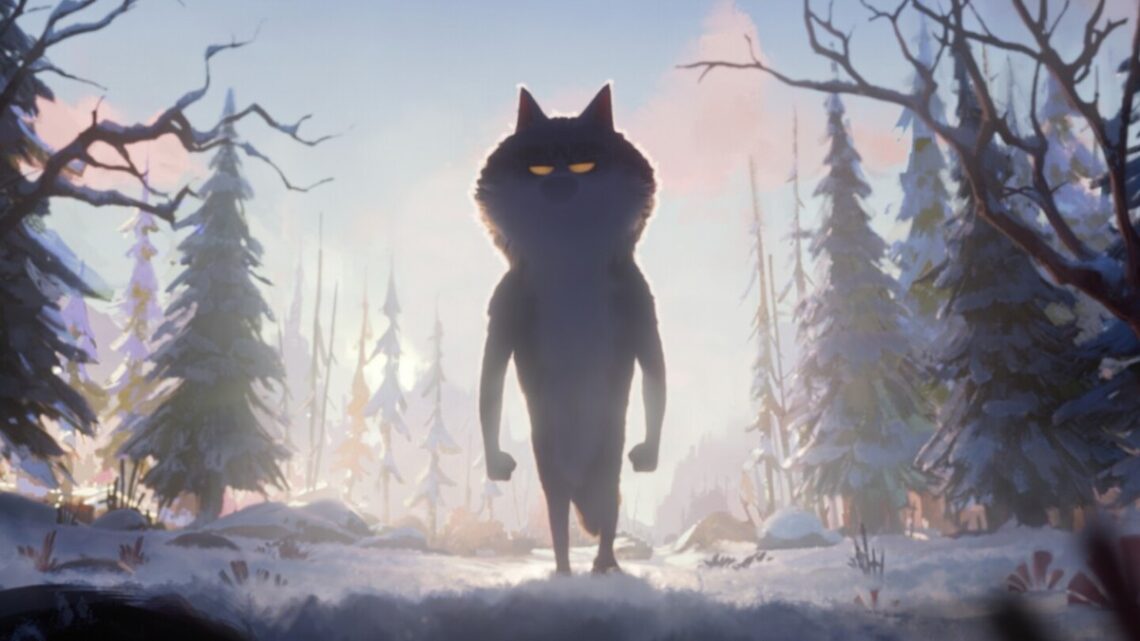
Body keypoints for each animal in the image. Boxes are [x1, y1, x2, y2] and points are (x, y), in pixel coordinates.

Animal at [475, 84, 666, 575]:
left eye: (584, 163)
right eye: (538, 166)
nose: (559, 182)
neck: (568, 262)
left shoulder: (636, 297)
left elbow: (654, 369)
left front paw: (648, 454)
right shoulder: (508, 300)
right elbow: (491, 379)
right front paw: (496, 462)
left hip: (604, 459)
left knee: (608, 508)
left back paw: (603, 566)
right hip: (552, 462)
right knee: (559, 514)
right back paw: (563, 569)